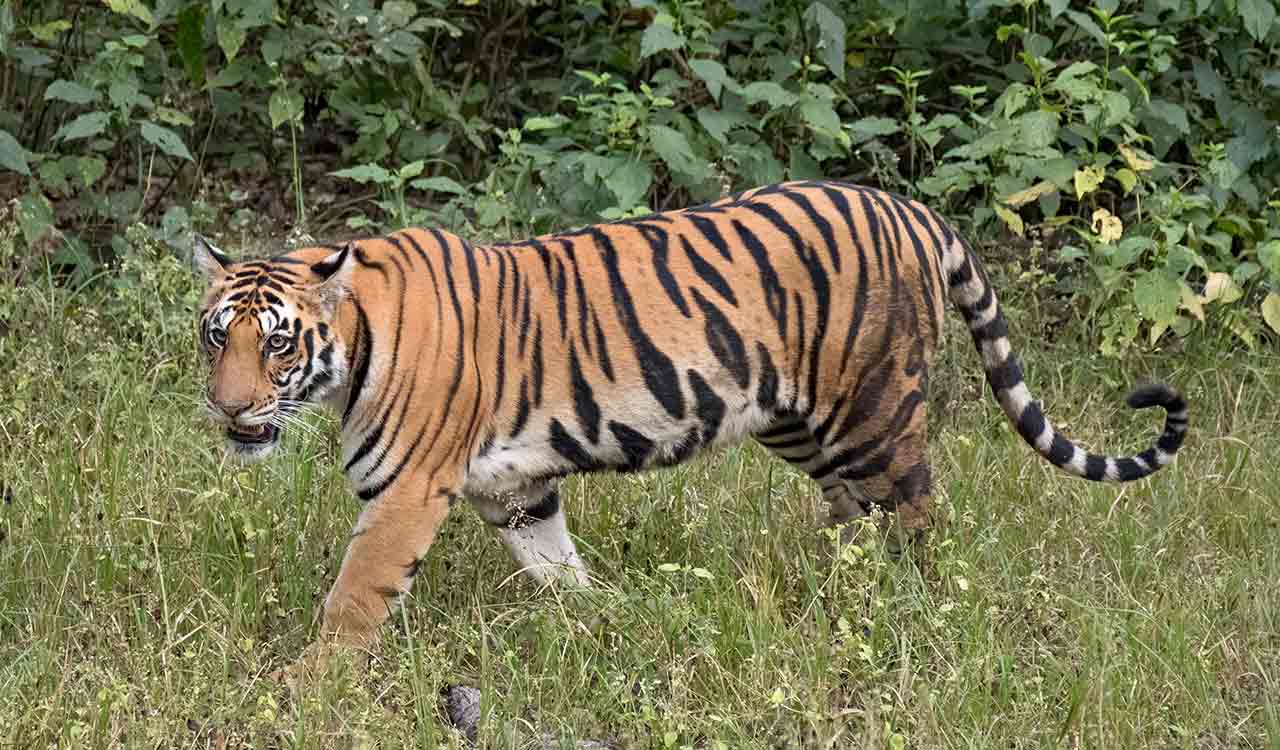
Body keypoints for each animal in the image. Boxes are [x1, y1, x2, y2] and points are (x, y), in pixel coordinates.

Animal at [192, 180, 1188, 659]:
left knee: (917, 517)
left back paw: (913, 611)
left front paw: (312, 688)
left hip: (873, 411)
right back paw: (832, 592)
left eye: (277, 344)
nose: (228, 407)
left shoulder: (405, 492)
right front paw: (602, 620)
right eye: (215, 337)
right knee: (852, 514)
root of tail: (910, 208)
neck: (352, 348)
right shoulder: (516, 489)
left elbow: (355, 597)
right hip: (799, 421)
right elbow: (557, 566)